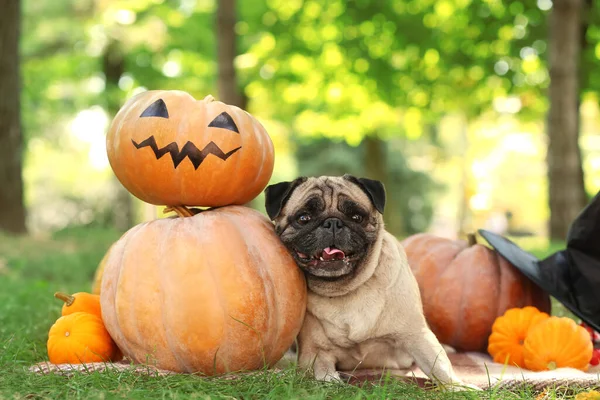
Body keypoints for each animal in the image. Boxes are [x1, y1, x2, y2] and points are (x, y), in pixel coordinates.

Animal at [264, 175, 476, 390]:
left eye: (357, 217)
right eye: (304, 218)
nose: (332, 223)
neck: (347, 289)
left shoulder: (416, 334)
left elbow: (438, 364)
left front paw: (458, 387)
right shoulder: (314, 351)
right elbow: (322, 371)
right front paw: (331, 381)